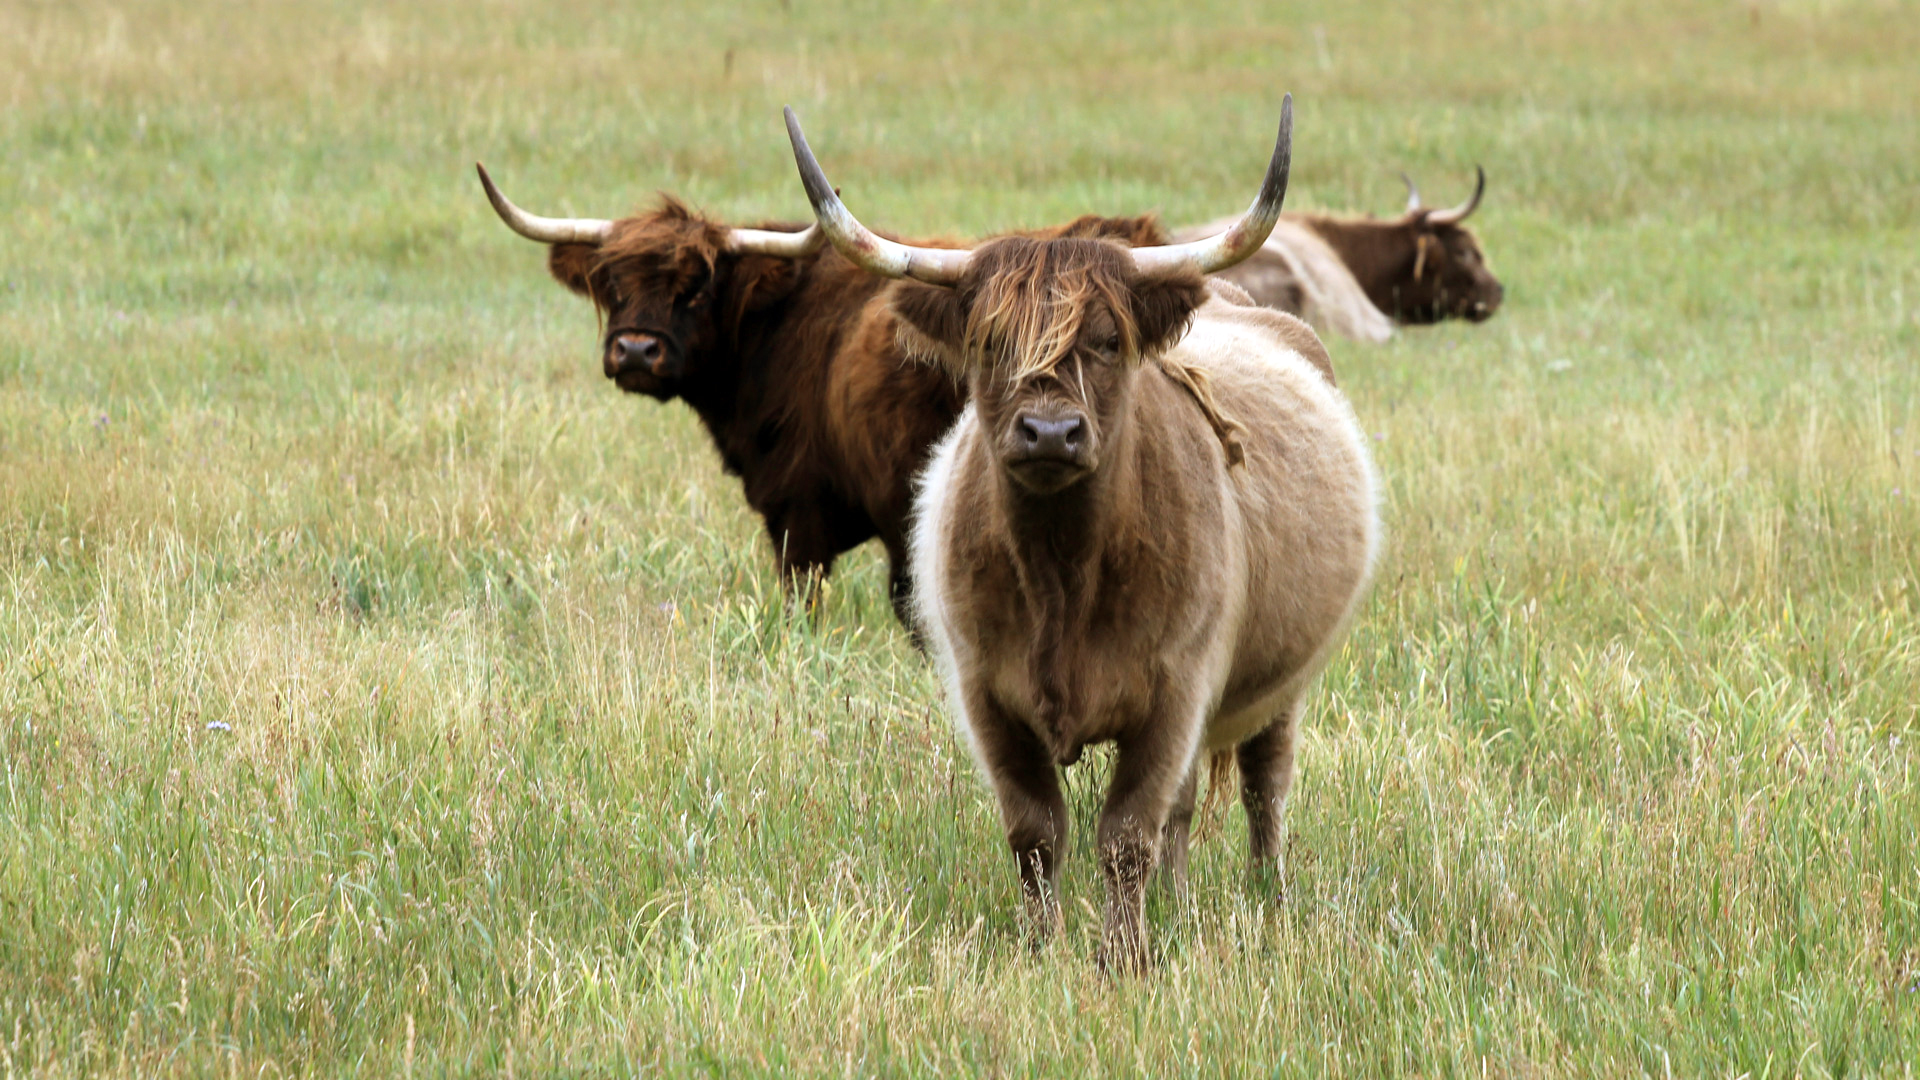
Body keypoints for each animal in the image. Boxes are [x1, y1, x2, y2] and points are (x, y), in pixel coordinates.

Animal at [783, 98, 1382, 968]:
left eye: (1105, 342)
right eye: (989, 342)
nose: (1050, 432)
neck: (1061, 576)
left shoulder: (1175, 690)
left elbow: (1126, 832)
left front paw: (1122, 960)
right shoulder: (986, 693)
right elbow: (1037, 831)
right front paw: (1043, 950)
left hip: (1284, 681)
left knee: (1264, 785)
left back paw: (1266, 900)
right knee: (1188, 808)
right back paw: (1178, 901)